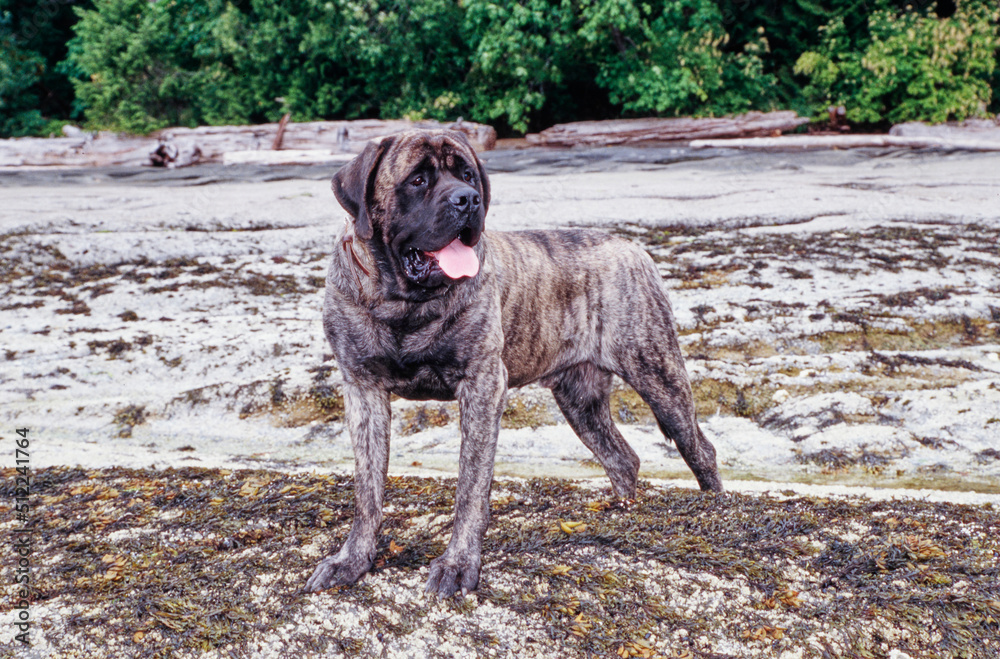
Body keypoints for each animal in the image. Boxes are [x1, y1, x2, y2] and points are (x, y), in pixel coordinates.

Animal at [300, 130, 724, 600]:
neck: (404, 305)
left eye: (468, 175)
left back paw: (716, 509)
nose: (468, 200)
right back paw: (622, 509)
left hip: (657, 374)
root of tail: (632, 247)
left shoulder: (483, 383)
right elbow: (367, 489)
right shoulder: (363, 389)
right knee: (621, 457)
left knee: (699, 449)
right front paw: (352, 560)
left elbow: (470, 486)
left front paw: (458, 566)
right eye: (417, 180)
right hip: (579, 399)